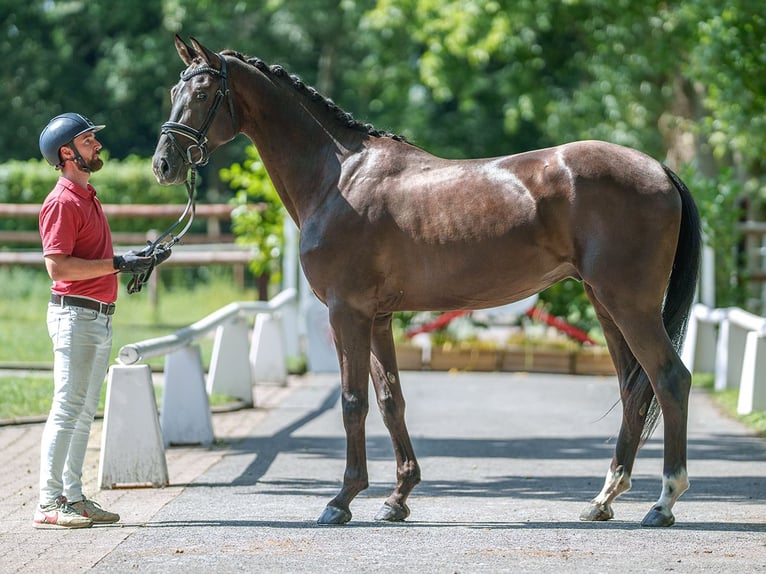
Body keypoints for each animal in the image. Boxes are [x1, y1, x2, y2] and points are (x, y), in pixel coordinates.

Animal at [154, 37, 704, 532]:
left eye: (203, 93)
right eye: (174, 90)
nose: (163, 164)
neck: (340, 177)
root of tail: (659, 168)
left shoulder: (346, 312)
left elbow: (352, 402)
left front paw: (342, 500)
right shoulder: (377, 317)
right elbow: (389, 400)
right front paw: (397, 498)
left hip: (630, 305)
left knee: (670, 379)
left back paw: (663, 502)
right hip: (606, 304)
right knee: (634, 388)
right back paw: (603, 499)